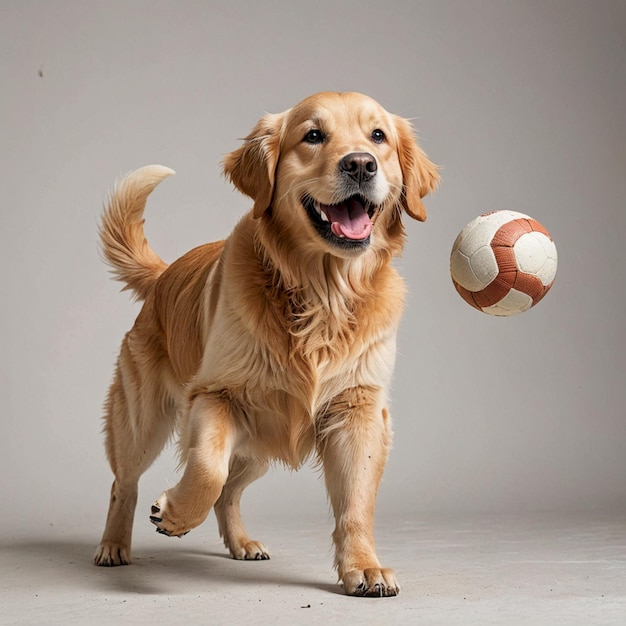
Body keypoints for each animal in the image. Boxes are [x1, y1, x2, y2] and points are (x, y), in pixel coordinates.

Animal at [94, 91, 438, 596]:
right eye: (313, 135)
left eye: (378, 136)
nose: (361, 164)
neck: (322, 295)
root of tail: (163, 276)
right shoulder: (215, 395)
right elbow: (206, 469)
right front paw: (174, 513)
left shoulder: (358, 410)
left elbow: (355, 502)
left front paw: (364, 567)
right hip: (144, 420)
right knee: (125, 482)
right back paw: (113, 546)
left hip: (259, 444)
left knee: (231, 492)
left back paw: (242, 543)